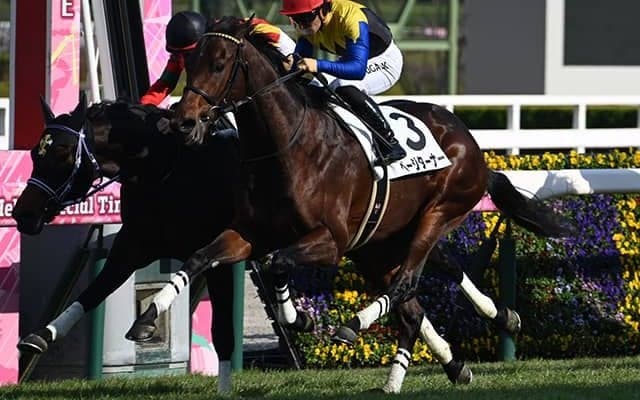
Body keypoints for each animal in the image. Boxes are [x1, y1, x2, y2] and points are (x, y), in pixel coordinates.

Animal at [125, 17, 572, 393]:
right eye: (189, 61)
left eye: (219, 64)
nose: (183, 121)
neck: (286, 147)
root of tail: (471, 144)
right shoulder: (248, 232)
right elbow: (199, 258)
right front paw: (146, 319)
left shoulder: (331, 241)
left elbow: (277, 262)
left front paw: (300, 317)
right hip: (380, 241)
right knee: (423, 292)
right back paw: (463, 346)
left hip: (437, 213)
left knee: (407, 282)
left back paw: (357, 326)